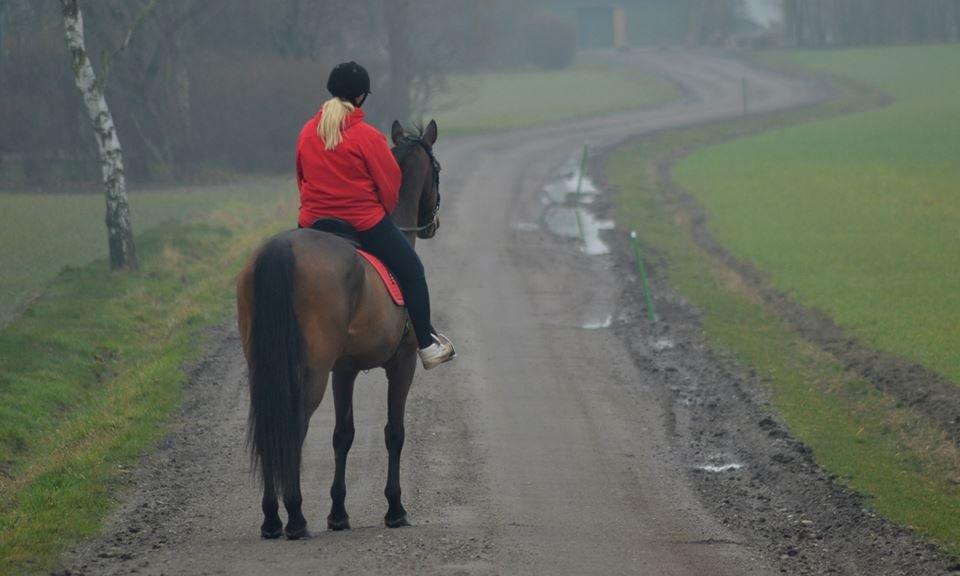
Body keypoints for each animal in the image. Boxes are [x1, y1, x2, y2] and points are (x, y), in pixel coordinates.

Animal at [236, 118, 442, 540]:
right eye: (437, 170)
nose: (432, 224)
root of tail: (281, 250)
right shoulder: (402, 364)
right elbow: (394, 432)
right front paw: (395, 508)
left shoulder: (343, 371)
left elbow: (342, 435)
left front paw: (338, 513)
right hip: (310, 371)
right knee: (292, 425)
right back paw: (295, 517)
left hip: (265, 366)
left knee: (270, 426)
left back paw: (271, 519)